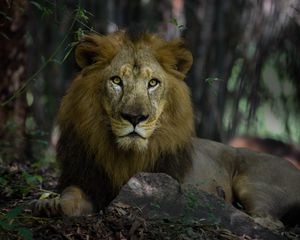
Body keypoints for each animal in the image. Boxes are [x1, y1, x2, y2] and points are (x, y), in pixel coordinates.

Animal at [35, 30, 300, 231]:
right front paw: (51, 204)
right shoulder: (86, 180)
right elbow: (71, 194)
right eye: (117, 81)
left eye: (153, 83)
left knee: (265, 221)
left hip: (254, 183)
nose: (135, 117)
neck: (123, 156)